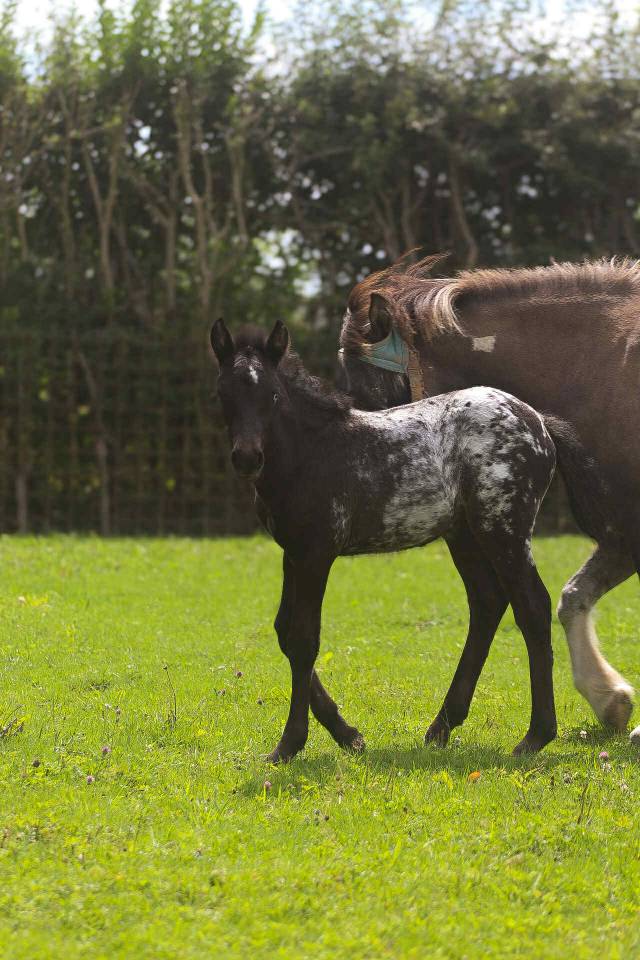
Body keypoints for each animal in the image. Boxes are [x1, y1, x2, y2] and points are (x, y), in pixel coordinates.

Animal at [211, 317, 558, 762]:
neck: (311, 453)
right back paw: (442, 727)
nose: (247, 458)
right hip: (464, 535)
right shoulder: (293, 552)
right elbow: (285, 631)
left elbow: (304, 638)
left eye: (272, 393)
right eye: (224, 393)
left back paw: (535, 736)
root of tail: (538, 422)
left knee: (532, 606)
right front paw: (347, 734)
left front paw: (289, 744)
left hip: (505, 531)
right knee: (488, 603)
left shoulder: (316, 553)